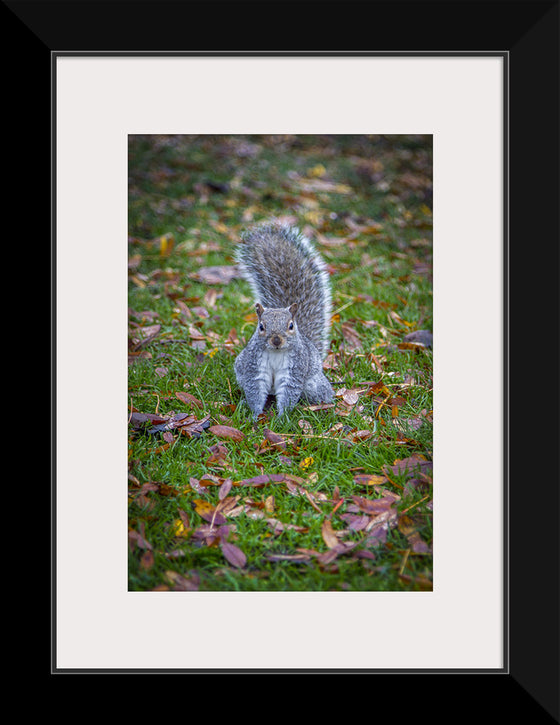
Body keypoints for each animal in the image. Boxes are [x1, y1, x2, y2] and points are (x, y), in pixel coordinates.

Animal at [234, 219, 334, 418]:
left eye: (290, 326)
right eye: (261, 326)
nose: (276, 340)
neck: (276, 353)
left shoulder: (295, 370)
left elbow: (289, 392)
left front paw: (282, 417)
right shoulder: (253, 367)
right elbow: (255, 390)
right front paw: (255, 415)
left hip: (312, 383)